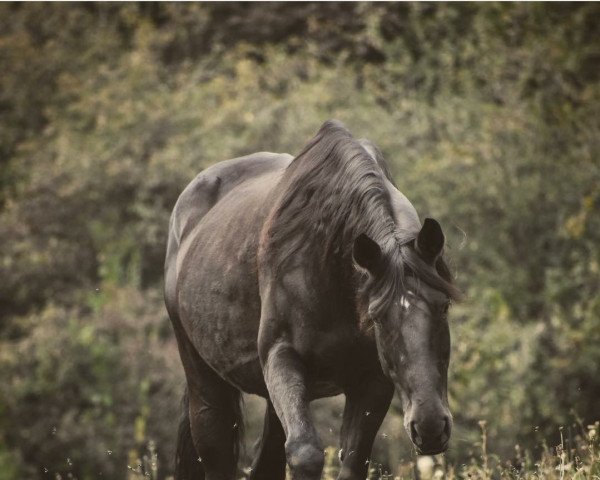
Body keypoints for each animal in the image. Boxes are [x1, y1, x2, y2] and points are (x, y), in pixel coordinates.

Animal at [164, 121, 460, 480]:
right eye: (377, 316)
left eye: (443, 306)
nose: (430, 427)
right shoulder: (282, 358)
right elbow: (305, 454)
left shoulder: (372, 380)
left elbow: (353, 460)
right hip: (205, 383)